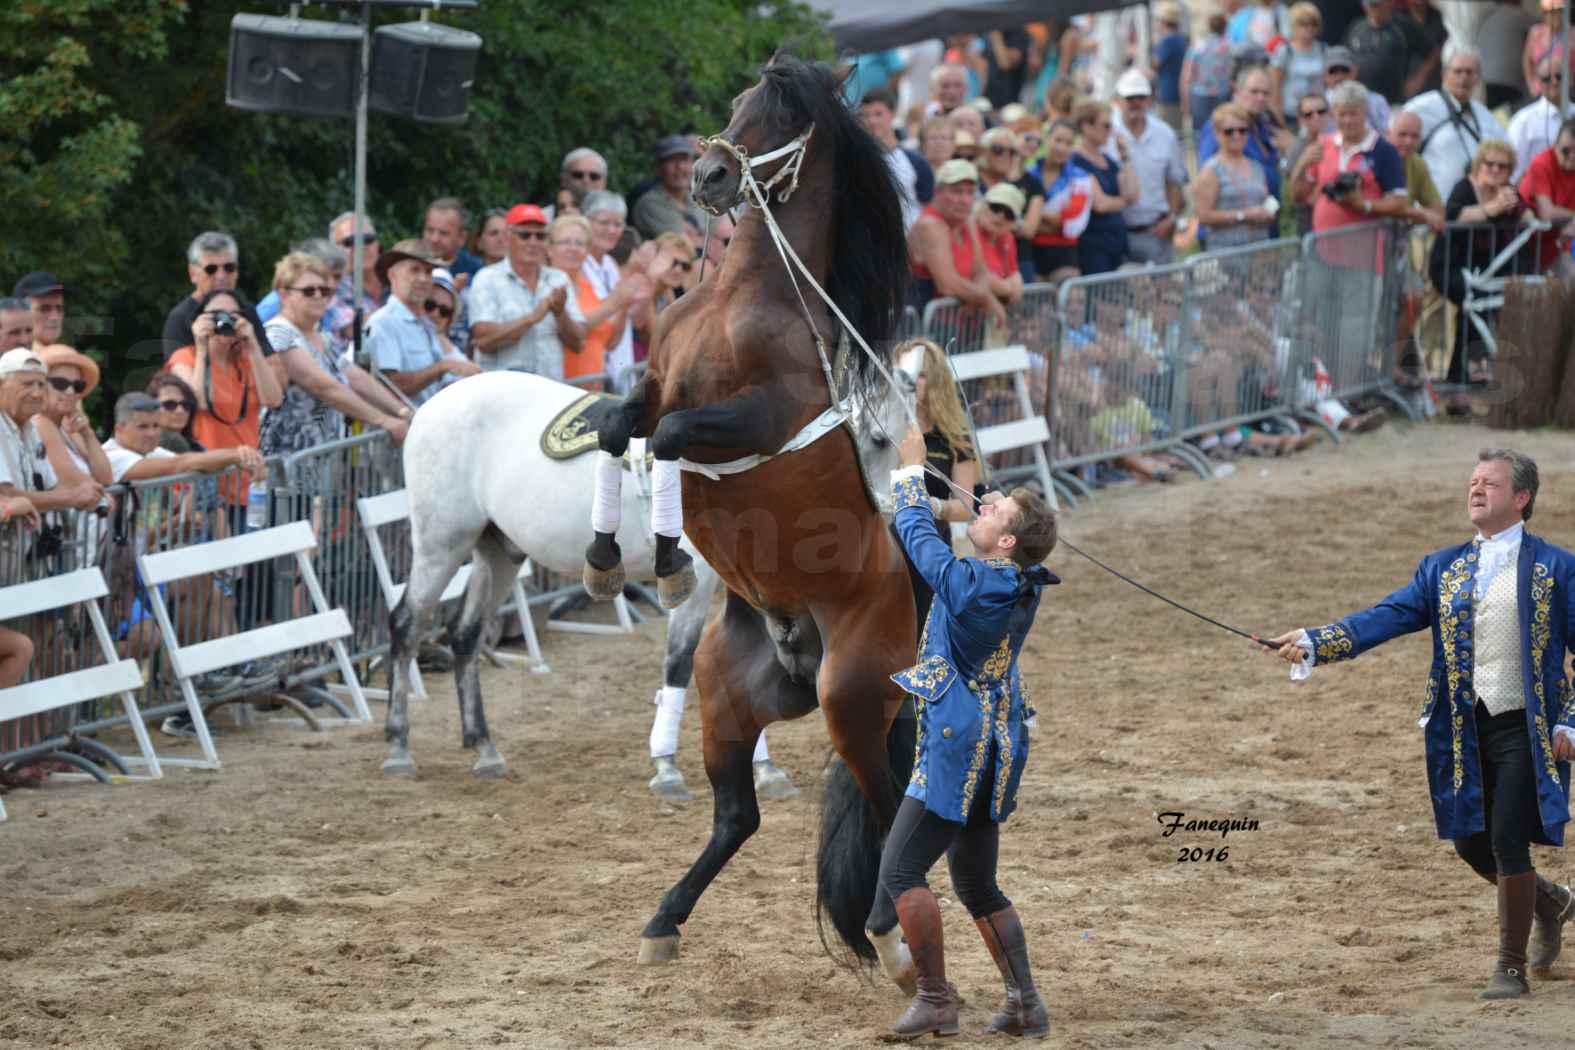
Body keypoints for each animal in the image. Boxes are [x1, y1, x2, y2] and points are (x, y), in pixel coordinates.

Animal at [585, 55, 919, 976]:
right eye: (740, 102)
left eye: (787, 116)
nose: (706, 176)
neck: (744, 295)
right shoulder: (653, 384)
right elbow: (618, 425)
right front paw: (603, 558)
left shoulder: (751, 415)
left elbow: (667, 438)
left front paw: (665, 559)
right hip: (725, 699)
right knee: (740, 816)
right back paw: (663, 922)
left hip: (851, 699)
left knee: (887, 808)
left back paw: (892, 937)